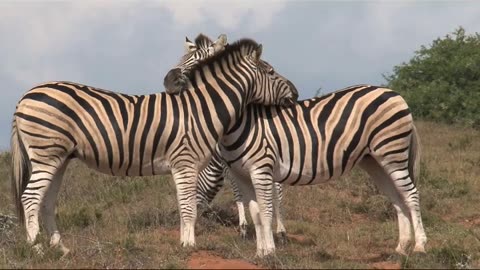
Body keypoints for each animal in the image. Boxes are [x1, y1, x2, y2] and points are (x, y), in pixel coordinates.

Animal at [9, 37, 298, 255]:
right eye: (271, 72)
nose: (295, 94)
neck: (201, 108)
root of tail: (25, 96)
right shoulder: (186, 161)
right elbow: (189, 207)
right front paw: (189, 245)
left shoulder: (185, 166)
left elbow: (185, 205)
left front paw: (185, 241)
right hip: (46, 155)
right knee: (30, 197)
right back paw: (36, 249)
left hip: (58, 158)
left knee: (46, 202)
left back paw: (61, 249)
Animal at [188, 85, 428, 258]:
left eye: (196, 188)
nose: (196, 224)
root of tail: (396, 94)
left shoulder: (250, 168)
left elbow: (248, 198)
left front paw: (251, 232)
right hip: (375, 161)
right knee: (397, 198)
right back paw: (401, 247)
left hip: (392, 151)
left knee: (411, 194)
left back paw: (420, 246)